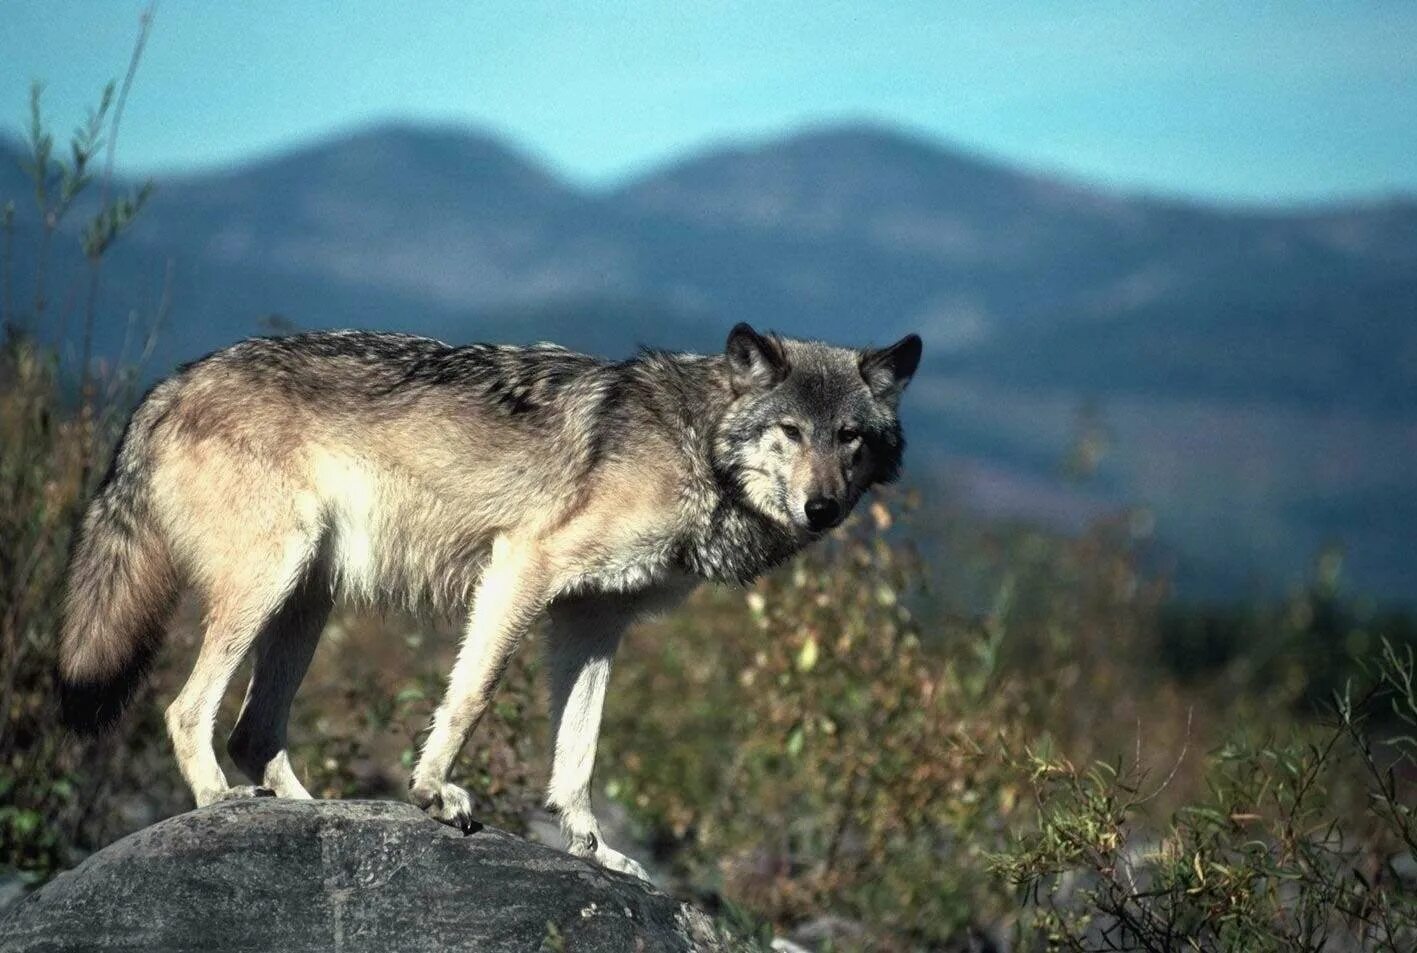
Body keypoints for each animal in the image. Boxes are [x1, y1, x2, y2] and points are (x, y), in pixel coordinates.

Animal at [55, 321, 923, 877]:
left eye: (849, 437)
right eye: (789, 431)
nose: (822, 507)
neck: (695, 442)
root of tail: (169, 382)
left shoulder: (591, 623)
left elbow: (577, 754)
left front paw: (593, 850)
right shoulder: (522, 567)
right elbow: (471, 694)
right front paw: (432, 792)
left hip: (305, 600)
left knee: (251, 730)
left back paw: (304, 809)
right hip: (269, 581)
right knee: (186, 710)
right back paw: (217, 801)